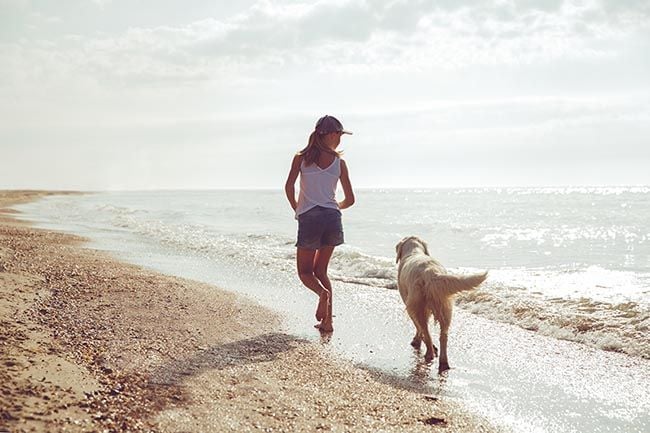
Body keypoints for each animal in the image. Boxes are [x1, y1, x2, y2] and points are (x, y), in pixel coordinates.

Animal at [394, 236, 486, 372]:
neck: (414, 250)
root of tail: (431, 272)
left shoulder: (410, 303)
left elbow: (419, 328)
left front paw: (417, 341)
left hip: (418, 305)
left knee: (426, 332)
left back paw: (430, 354)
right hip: (445, 307)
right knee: (443, 336)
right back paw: (443, 362)